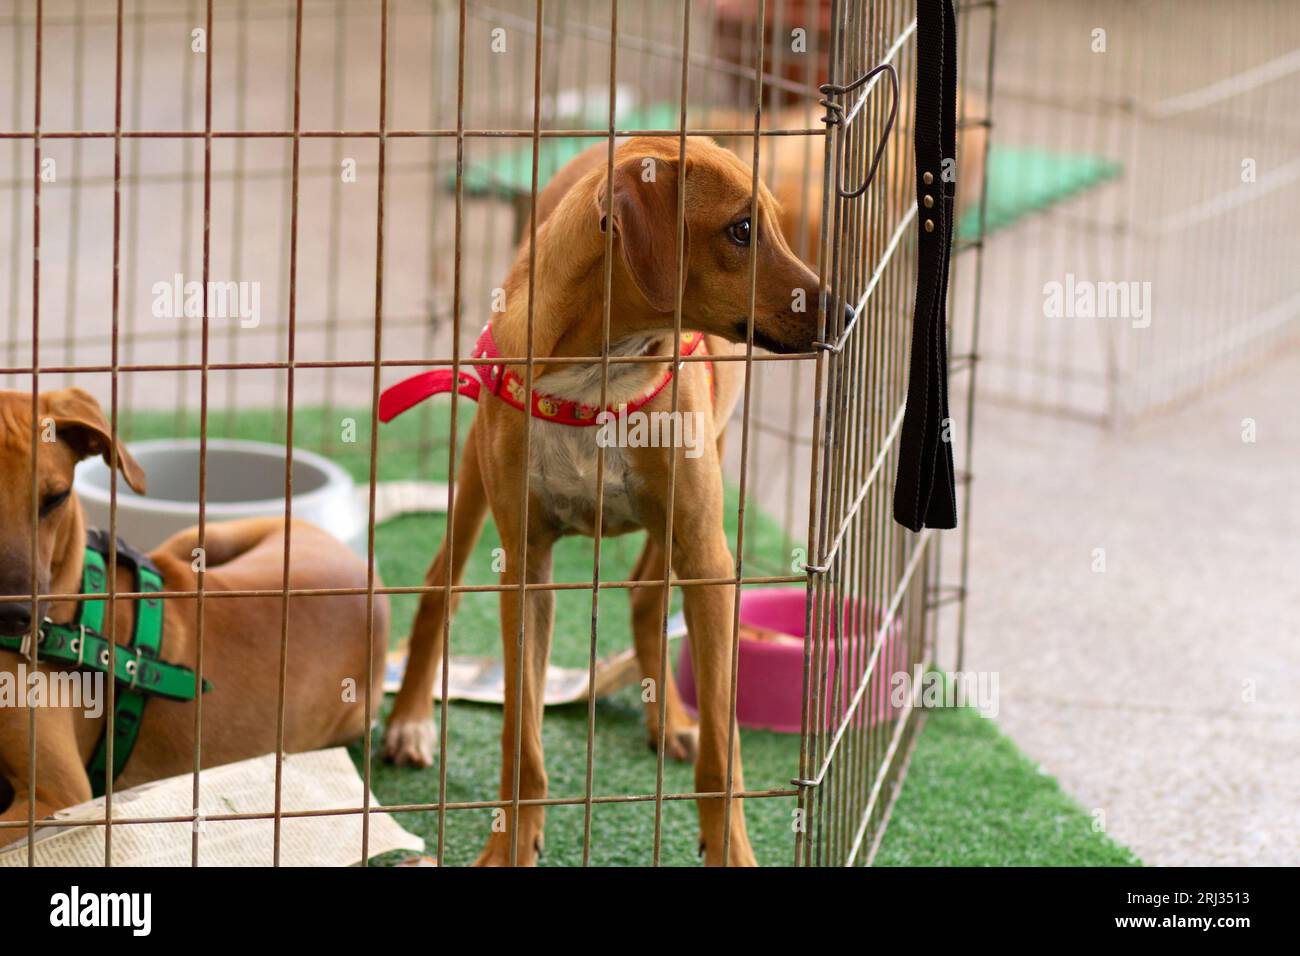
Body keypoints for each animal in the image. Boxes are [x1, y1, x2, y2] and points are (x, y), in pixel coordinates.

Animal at [379, 138, 842, 868]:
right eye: (741, 229)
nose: (844, 314)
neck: (598, 375)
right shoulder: (526, 570)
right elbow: (521, 740)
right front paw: (508, 846)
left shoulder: (709, 560)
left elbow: (723, 753)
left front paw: (730, 847)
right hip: (475, 474)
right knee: (438, 588)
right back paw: (409, 721)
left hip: (696, 498)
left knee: (648, 595)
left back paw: (671, 718)